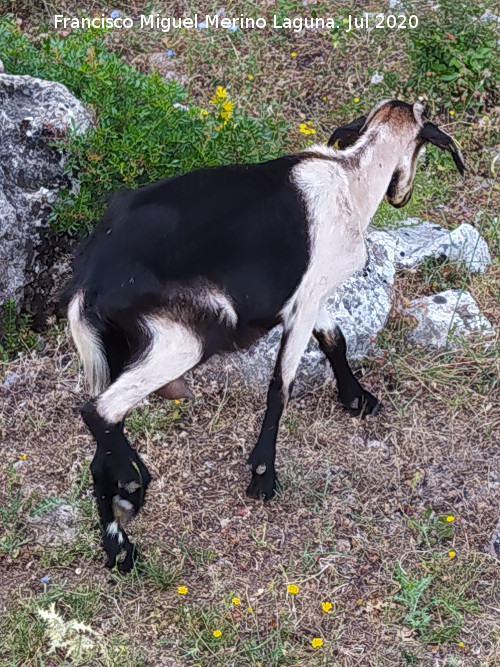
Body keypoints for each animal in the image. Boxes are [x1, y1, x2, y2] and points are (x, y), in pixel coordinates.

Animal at [63, 99, 465, 572]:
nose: (402, 196)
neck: (351, 177)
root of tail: (91, 280)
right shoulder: (306, 298)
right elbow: (281, 384)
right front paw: (262, 477)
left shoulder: (310, 294)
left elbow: (335, 339)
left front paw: (357, 399)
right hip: (189, 334)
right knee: (99, 411)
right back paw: (131, 490)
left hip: (121, 348)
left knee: (103, 441)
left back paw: (120, 539)